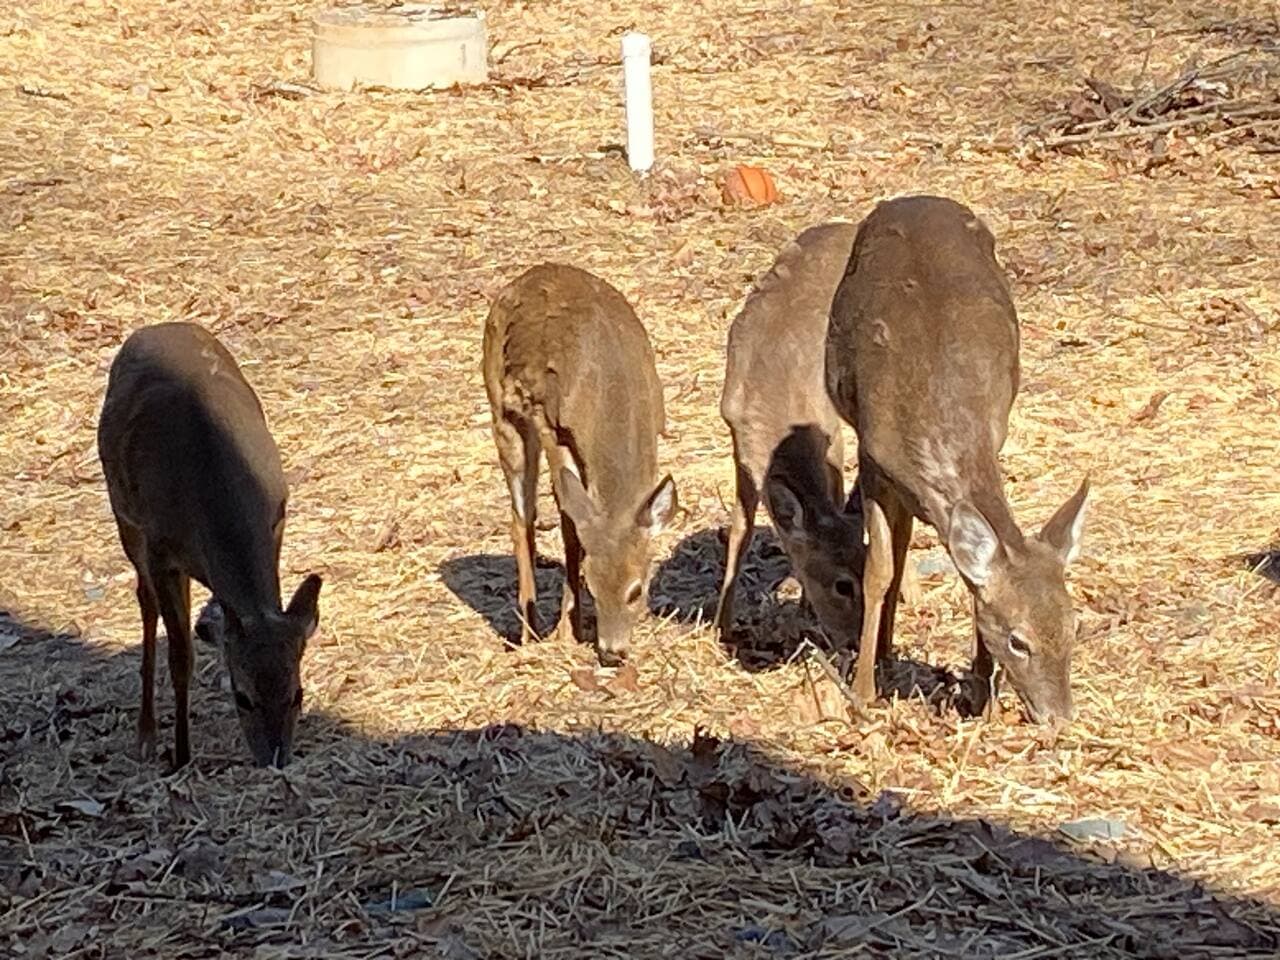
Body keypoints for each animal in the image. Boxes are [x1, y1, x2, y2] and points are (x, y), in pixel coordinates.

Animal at [98, 322, 322, 769]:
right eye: (243, 698)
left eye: (297, 694)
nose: (275, 759)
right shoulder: (160, 548)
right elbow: (180, 657)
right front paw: (181, 756)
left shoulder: (276, 520)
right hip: (124, 515)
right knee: (145, 601)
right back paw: (146, 736)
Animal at [482, 264, 677, 667]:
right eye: (594, 587)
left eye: (637, 590)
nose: (612, 653)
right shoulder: (554, 429)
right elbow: (572, 530)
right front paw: (567, 631)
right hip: (502, 410)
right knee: (521, 518)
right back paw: (529, 632)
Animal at [714, 221, 866, 644]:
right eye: (843, 584)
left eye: (867, 567)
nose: (856, 639)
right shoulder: (737, 438)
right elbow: (741, 529)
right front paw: (721, 624)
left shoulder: (829, 433)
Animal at [825, 195, 1089, 723]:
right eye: (1019, 640)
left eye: (1074, 628)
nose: (1059, 717)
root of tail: (915, 198)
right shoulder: (873, 455)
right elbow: (877, 570)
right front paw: (863, 694)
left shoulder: (996, 431)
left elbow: (971, 580)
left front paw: (981, 697)